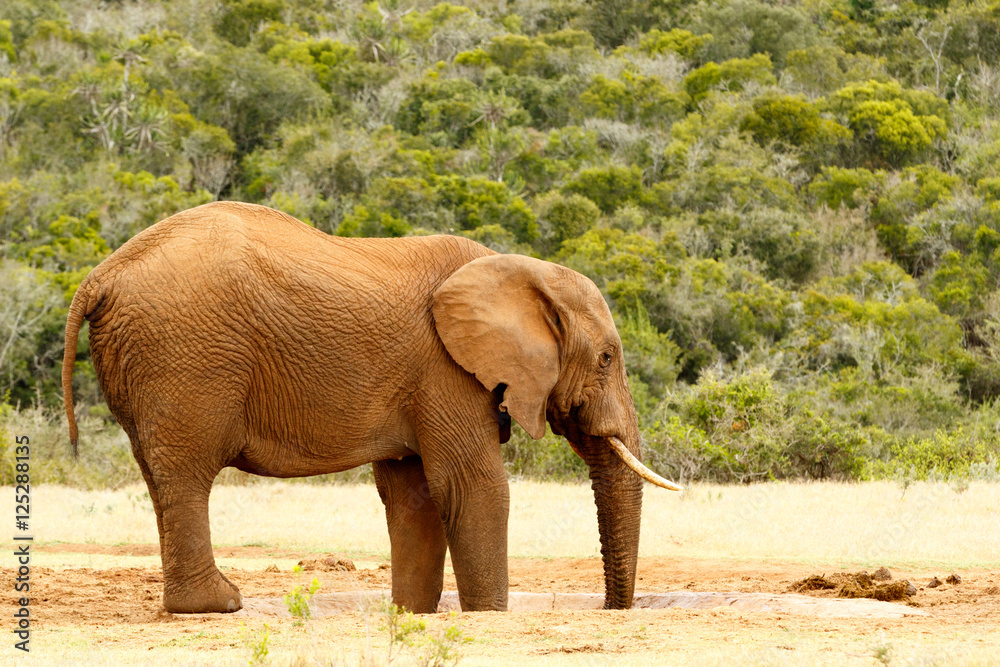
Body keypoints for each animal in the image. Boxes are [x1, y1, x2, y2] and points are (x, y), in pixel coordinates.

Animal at [62, 201, 680, 614]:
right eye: (606, 358)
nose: (611, 609)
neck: (523, 270)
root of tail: (101, 274)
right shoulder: (444, 369)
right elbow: (473, 484)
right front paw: (488, 614)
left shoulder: (418, 381)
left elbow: (415, 495)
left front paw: (411, 614)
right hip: (187, 357)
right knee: (187, 473)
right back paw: (219, 605)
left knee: (159, 475)